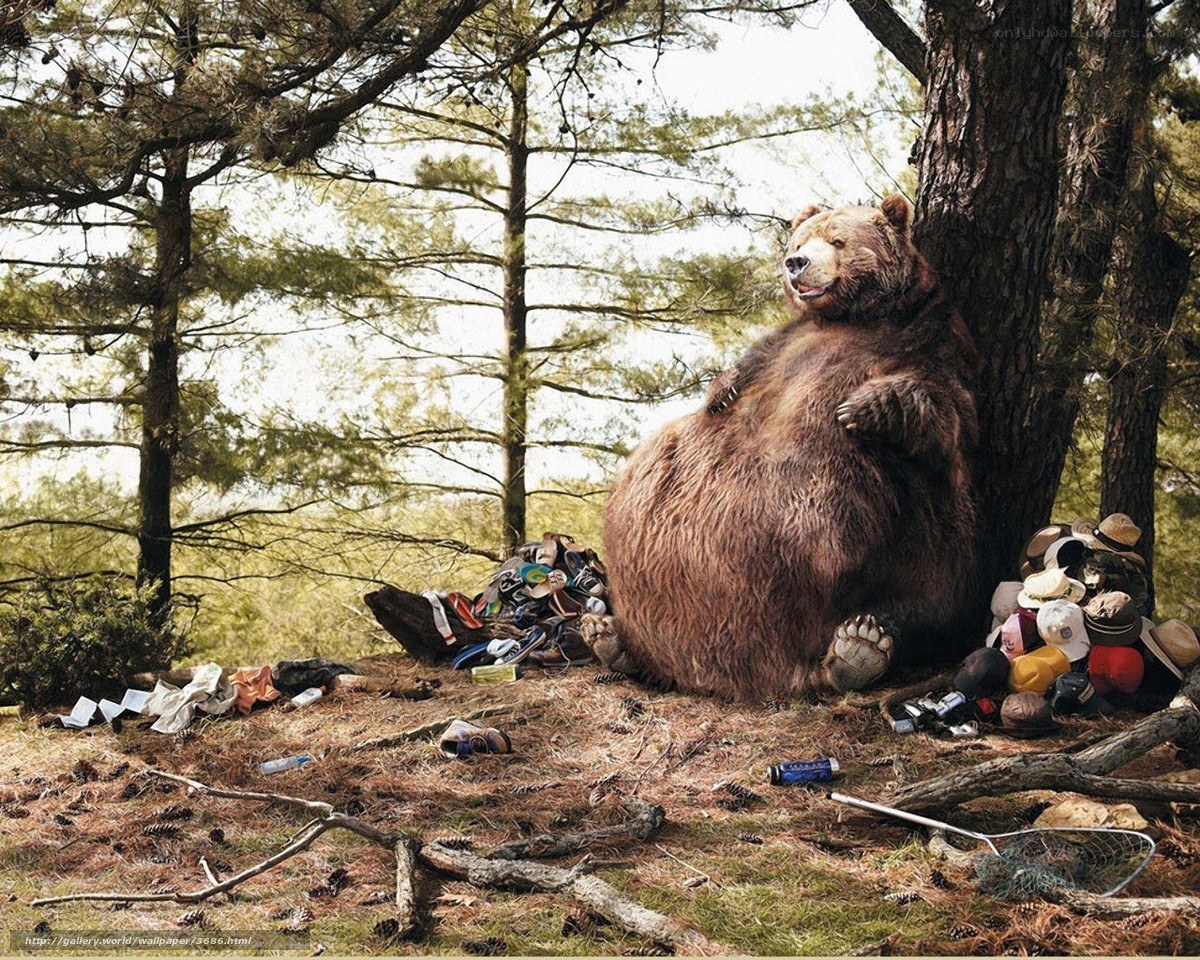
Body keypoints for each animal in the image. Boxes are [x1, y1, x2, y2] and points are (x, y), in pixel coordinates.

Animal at [582, 195, 980, 700]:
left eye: (838, 240)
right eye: (798, 241)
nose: (796, 264)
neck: (853, 315)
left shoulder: (934, 336)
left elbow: (946, 409)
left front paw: (864, 405)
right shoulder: (787, 340)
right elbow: (750, 364)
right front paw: (721, 391)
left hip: (905, 527)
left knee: (930, 578)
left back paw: (859, 647)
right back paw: (611, 636)